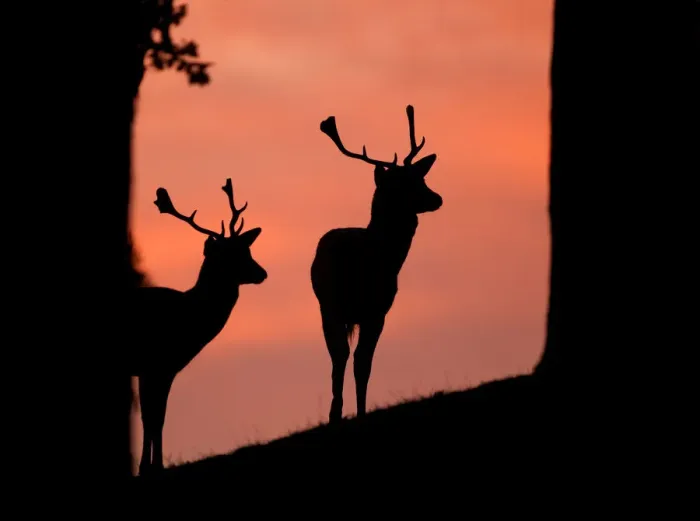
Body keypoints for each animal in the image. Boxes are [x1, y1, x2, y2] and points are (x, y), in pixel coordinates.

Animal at [130, 178, 267, 476]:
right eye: (228, 255)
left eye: (247, 249)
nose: (262, 273)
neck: (190, 318)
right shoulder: (156, 365)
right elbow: (154, 417)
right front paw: (152, 467)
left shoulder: (160, 369)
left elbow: (155, 417)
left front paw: (150, 466)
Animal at [310, 105, 443, 424]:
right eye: (402, 184)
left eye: (420, 178)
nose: (437, 198)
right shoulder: (379, 309)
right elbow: (362, 361)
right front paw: (356, 412)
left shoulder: (372, 311)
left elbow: (361, 361)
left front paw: (354, 411)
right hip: (330, 305)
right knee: (342, 356)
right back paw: (337, 412)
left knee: (340, 355)